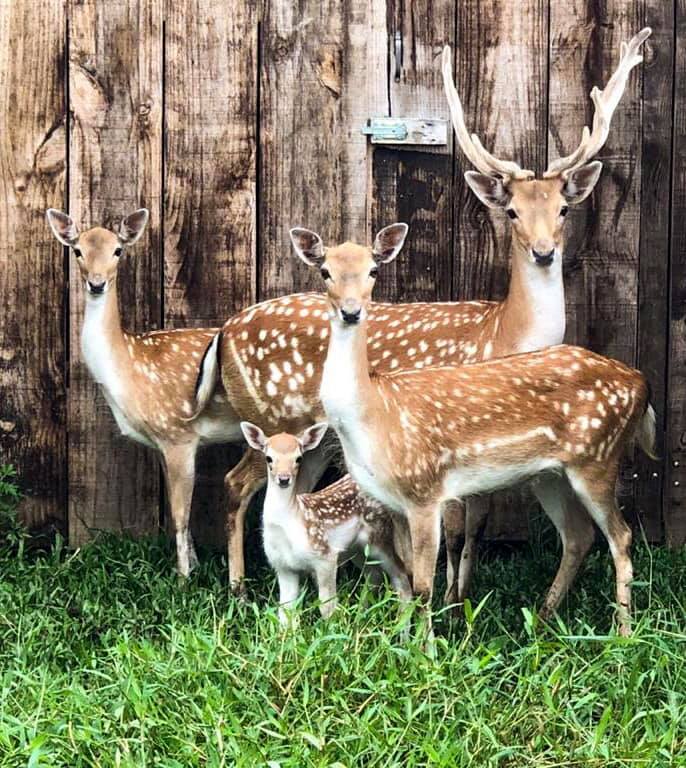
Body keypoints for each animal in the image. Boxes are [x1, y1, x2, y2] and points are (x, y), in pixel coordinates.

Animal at [47, 208, 243, 577]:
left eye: (118, 250)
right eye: (77, 250)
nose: (97, 283)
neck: (129, 371)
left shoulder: (178, 432)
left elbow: (179, 514)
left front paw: (183, 579)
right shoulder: (162, 443)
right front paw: (195, 566)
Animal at [240, 421, 412, 624]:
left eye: (298, 458)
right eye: (269, 458)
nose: (284, 479)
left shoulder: (325, 556)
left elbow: (327, 607)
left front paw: (332, 629)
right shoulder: (282, 566)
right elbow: (285, 613)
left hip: (380, 536)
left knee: (401, 578)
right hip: (356, 548)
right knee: (373, 575)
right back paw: (360, 617)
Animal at [293, 222, 655, 636]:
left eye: (373, 270)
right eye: (325, 272)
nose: (351, 311)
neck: (371, 414)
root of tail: (640, 382)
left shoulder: (425, 490)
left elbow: (422, 586)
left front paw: (427, 645)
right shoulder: (391, 501)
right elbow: (403, 579)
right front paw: (400, 638)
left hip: (599, 458)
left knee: (621, 536)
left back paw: (623, 633)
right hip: (550, 474)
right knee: (579, 535)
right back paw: (541, 620)